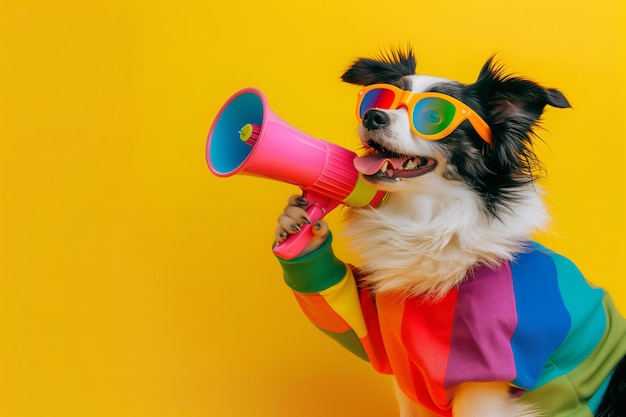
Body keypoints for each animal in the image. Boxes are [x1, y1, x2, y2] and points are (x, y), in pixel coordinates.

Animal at [270, 48, 620, 412]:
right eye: (376, 99)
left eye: (434, 117)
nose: (373, 117)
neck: (429, 224)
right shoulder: (392, 348)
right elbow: (352, 322)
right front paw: (296, 223)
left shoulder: (486, 377)